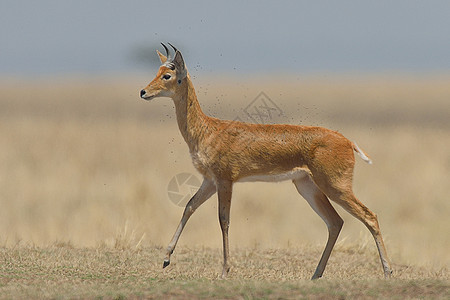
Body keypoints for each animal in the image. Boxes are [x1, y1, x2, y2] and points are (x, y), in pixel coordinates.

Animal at [139, 42, 392, 278]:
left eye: (168, 75)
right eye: (158, 70)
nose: (143, 92)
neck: (207, 129)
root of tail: (348, 141)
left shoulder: (225, 180)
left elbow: (224, 220)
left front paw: (225, 270)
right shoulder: (209, 181)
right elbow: (189, 206)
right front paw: (166, 258)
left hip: (335, 186)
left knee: (369, 216)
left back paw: (387, 271)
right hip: (307, 187)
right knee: (335, 222)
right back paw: (316, 274)